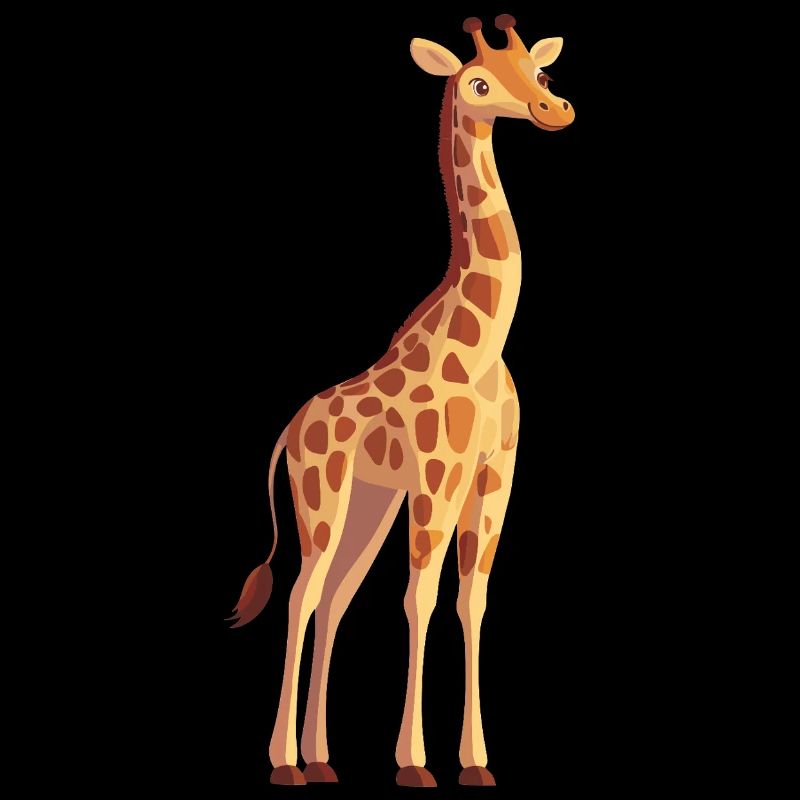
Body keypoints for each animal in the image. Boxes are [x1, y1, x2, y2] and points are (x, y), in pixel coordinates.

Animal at [228, 14, 575, 788]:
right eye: (478, 84)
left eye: (537, 73)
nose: (554, 110)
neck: (481, 345)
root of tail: (289, 431)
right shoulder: (438, 475)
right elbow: (421, 598)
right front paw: (414, 763)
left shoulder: (494, 476)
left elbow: (472, 602)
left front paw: (476, 763)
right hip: (322, 498)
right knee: (301, 596)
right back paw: (285, 763)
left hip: (369, 503)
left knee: (334, 600)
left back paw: (323, 759)